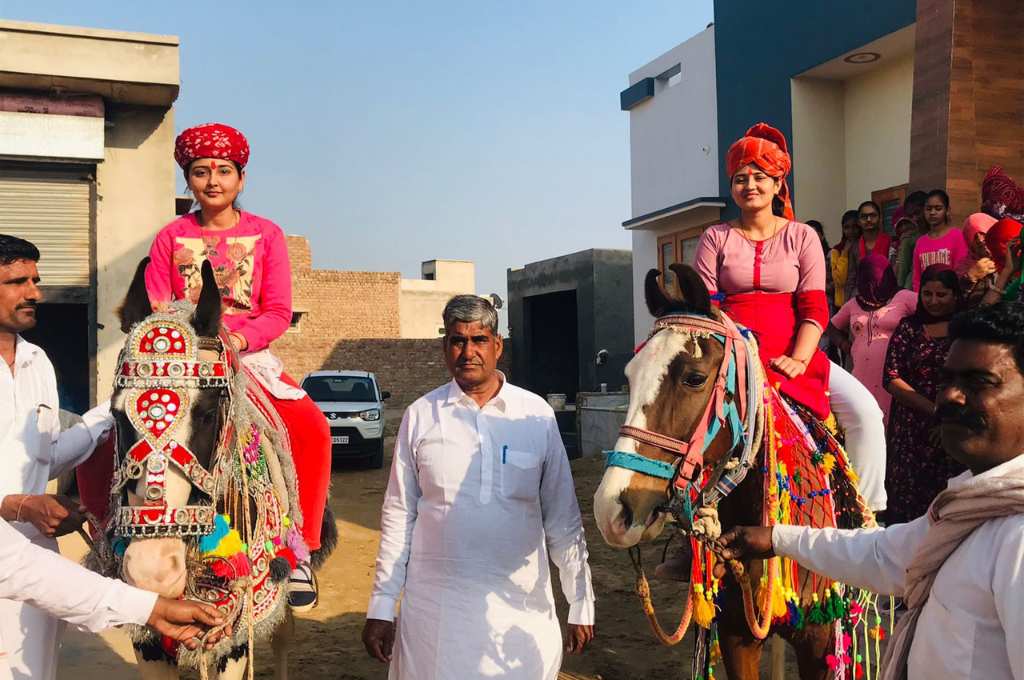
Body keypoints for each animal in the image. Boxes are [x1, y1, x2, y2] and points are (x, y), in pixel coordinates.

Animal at [88, 260, 335, 680]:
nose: (154, 569)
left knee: (283, 636)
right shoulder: (148, 634)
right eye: (117, 414)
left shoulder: (232, 633)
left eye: (205, 413)